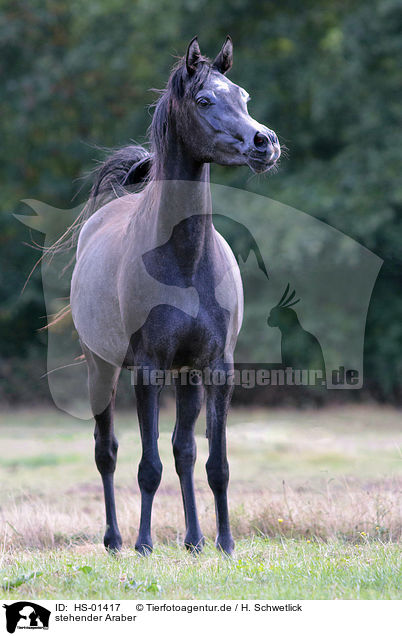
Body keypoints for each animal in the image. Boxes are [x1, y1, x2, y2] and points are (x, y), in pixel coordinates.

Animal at [70, 37, 280, 556]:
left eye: (242, 96)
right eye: (204, 100)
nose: (264, 143)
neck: (185, 261)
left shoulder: (216, 369)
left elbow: (214, 464)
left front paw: (225, 542)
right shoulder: (147, 371)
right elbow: (147, 466)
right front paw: (145, 544)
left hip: (186, 378)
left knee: (183, 451)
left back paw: (195, 539)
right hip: (102, 369)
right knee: (106, 452)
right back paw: (115, 539)